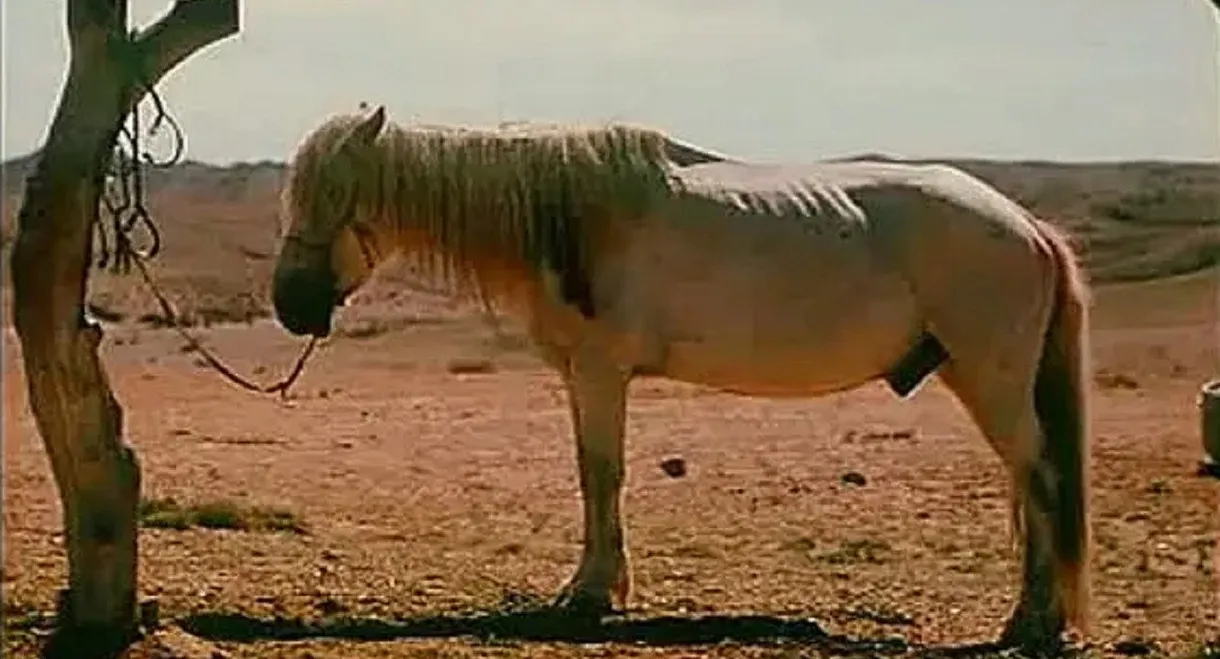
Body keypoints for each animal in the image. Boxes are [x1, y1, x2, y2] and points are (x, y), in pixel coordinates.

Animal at [270, 105, 1091, 652]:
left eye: (339, 196)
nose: (289, 304)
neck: (570, 215)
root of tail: (1025, 225)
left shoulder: (601, 371)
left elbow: (601, 473)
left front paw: (589, 595)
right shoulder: (583, 375)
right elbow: (591, 473)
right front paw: (597, 587)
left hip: (992, 379)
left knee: (1040, 478)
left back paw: (1031, 623)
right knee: (1030, 483)